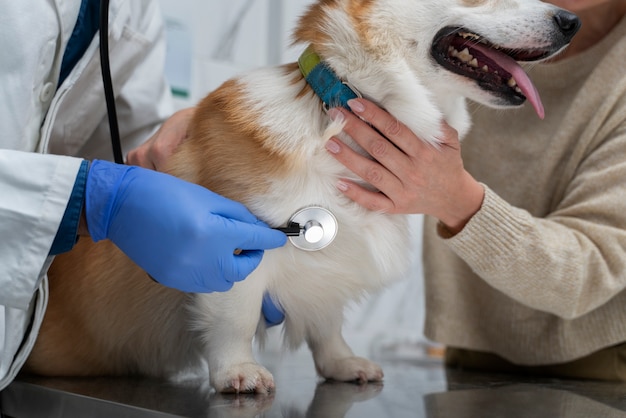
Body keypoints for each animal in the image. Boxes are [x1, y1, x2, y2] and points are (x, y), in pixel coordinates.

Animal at [25, 0, 580, 394]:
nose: (571, 20)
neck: (344, 107)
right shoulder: (235, 247)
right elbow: (235, 317)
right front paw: (239, 373)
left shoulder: (334, 262)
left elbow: (328, 320)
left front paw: (342, 362)